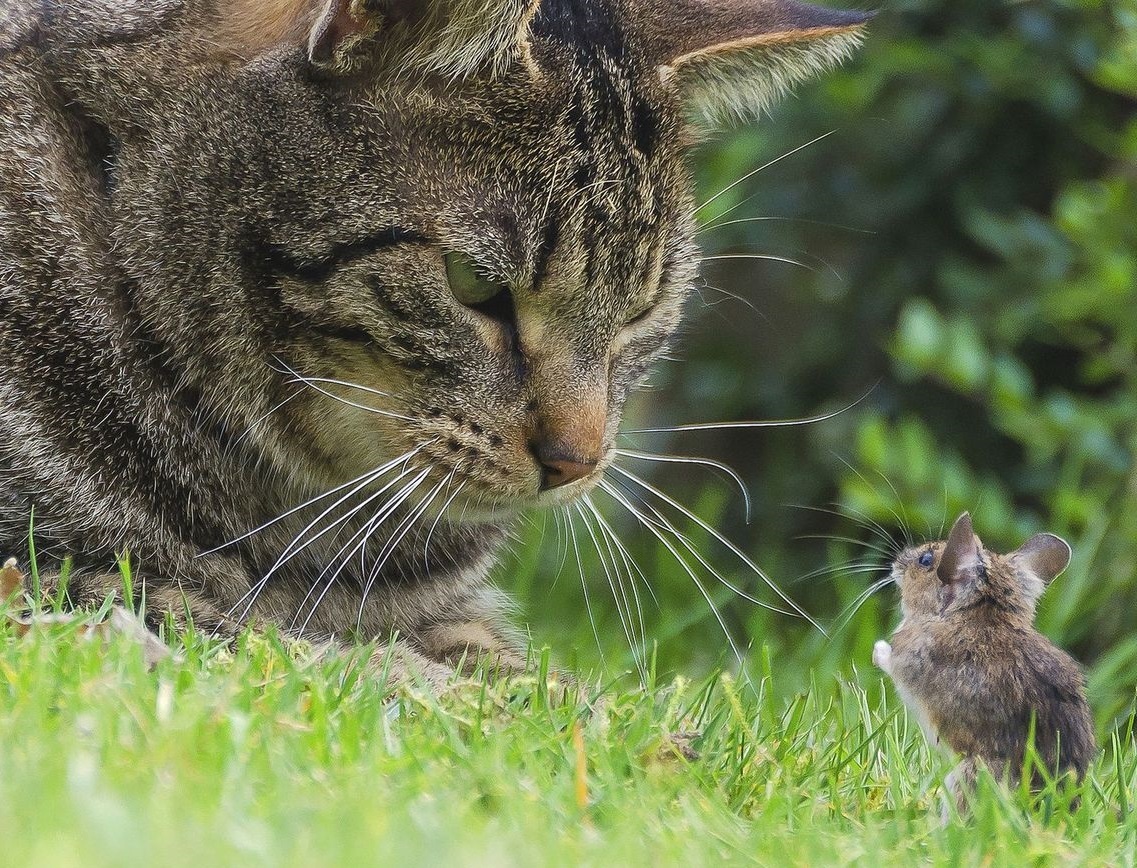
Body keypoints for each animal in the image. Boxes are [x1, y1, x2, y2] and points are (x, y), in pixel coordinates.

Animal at [2, 0, 868, 687]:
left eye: (640, 310)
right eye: (474, 285)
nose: (577, 462)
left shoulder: (446, 614)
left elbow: (541, 682)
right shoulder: (54, 575)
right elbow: (268, 642)